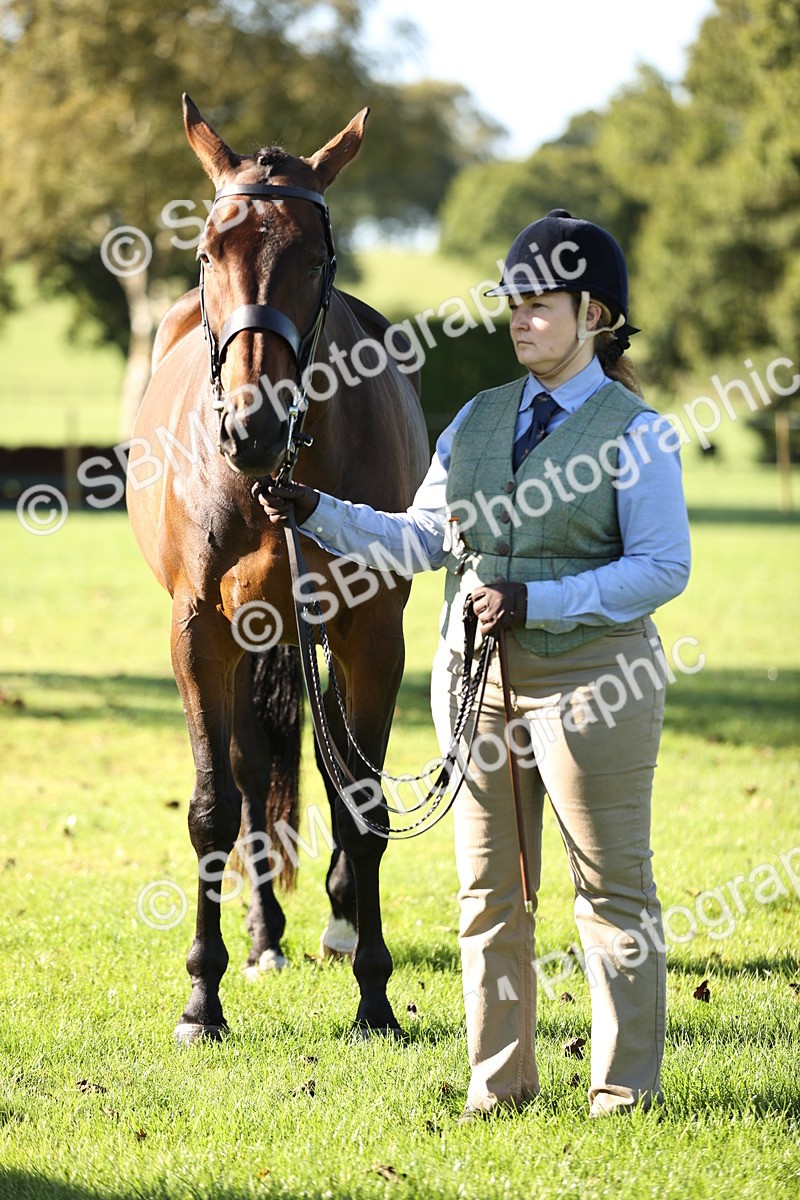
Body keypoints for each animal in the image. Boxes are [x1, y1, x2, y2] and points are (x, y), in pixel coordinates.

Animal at [127, 95, 429, 1043]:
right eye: (205, 253)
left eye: (316, 258)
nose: (251, 428)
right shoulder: (200, 633)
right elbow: (215, 807)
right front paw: (202, 997)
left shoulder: (370, 633)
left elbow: (360, 802)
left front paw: (375, 995)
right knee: (254, 772)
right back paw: (262, 938)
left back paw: (335, 924)